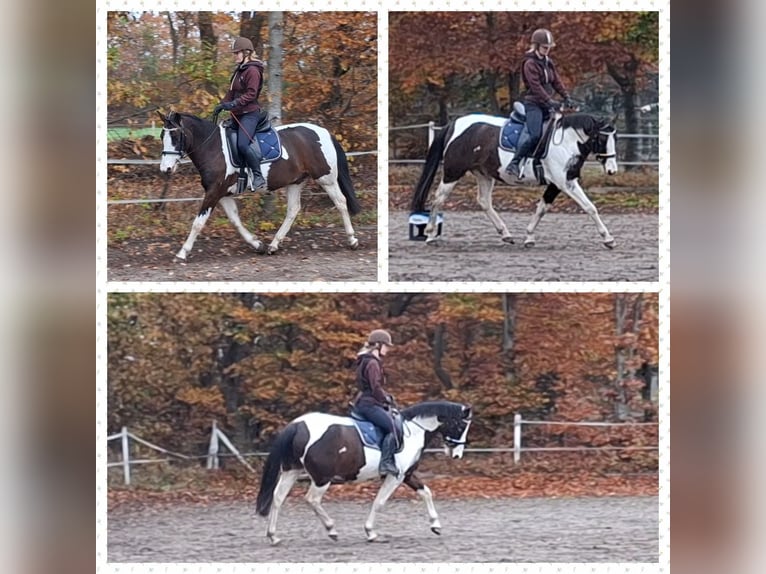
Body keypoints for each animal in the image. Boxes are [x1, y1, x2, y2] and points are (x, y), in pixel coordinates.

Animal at [157, 111, 362, 260]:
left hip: (326, 178)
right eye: (162, 136)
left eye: (176, 136)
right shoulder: (223, 194)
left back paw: (352, 240)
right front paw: (258, 244)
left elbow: (198, 223)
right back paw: (273, 245)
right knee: (293, 210)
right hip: (295, 182)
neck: (214, 148)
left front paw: (182, 252)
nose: (165, 168)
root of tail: (324, 132)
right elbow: (235, 221)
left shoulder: (214, 192)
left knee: (340, 202)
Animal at [255, 400, 472, 545]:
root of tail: (297, 425)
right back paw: (331, 529)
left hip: (291, 471)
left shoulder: (407, 474)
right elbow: (379, 502)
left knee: (278, 497)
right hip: (322, 478)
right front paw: (370, 532)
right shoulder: (396, 476)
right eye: (462, 425)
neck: (413, 431)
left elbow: (426, 492)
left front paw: (435, 525)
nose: (457, 455)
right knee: (312, 499)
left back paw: (273, 535)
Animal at [410, 111, 618, 248]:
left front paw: (529, 237)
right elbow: (589, 207)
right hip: (453, 172)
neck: (566, 141)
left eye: (614, 138)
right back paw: (430, 235)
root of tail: (454, 124)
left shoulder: (556, 185)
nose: (612, 170)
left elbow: (542, 209)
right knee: (439, 199)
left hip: (484, 174)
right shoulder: (565, 183)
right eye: (602, 139)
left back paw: (506, 235)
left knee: (484, 202)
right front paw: (608, 238)